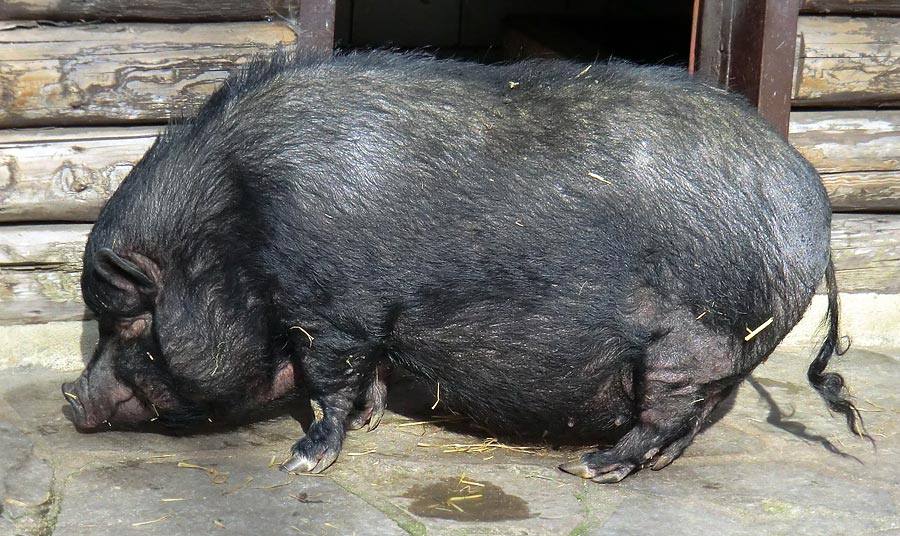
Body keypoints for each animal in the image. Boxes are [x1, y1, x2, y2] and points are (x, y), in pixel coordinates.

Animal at [63, 49, 864, 482]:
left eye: (129, 325)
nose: (71, 399)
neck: (238, 225)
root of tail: (815, 206)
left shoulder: (334, 312)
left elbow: (329, 384)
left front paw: (301, 461)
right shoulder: (368, 324)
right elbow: (368, 377)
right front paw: (375, 422)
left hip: (691, 341)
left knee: (671, 408)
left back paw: (590, 467)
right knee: (700, 415)